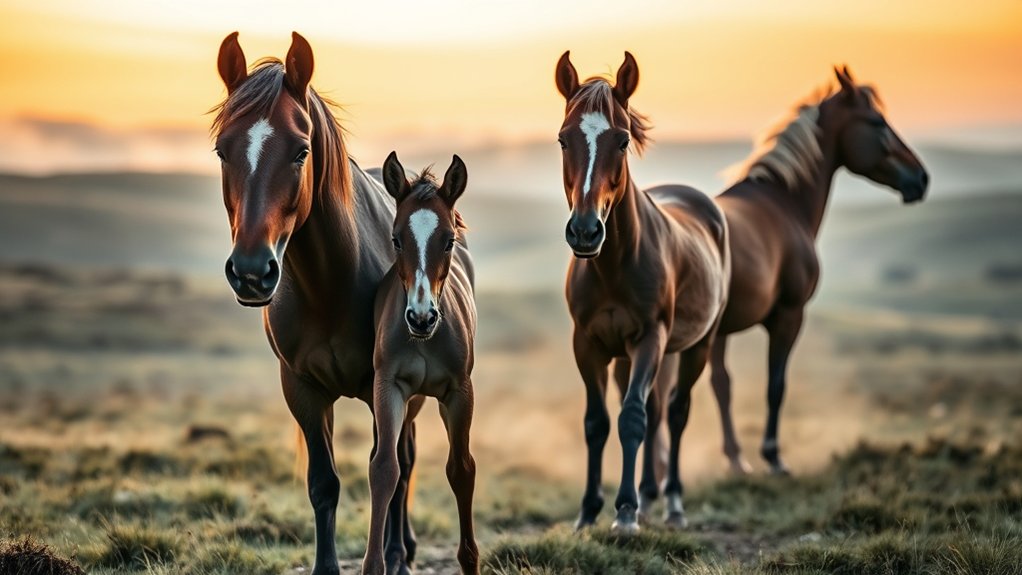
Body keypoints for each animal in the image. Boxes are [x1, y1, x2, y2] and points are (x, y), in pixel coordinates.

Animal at [211, 32, 419, 575]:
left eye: (301, 151)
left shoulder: (383, 388)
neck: (329, 285)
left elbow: (386, 471)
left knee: (406, 462)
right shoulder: (302, 389)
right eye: (221, 151)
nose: (251, 271)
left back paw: (401, 551)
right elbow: (323, 484)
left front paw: (389, 557)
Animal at [363, 152, 478, 575]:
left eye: (448, 240)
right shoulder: (389, 388)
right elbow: (385, 468)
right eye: (396, 239)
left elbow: (461, 470)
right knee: (403, 457)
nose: (421, 317)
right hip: (411, 400)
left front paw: (470, 560)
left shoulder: (459, 393)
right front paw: (378, 562)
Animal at [555, 51, 730, 532]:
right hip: (630, 357)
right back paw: (651, 496)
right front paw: (587, 511)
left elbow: (633, 418)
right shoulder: (587, 344)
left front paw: (625, 513)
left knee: (675, 412)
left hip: (694, 346)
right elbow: (597, 422)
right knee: (653, 411)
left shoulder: (650, 337)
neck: (614, 267)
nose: (585, 231)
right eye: (562, 140)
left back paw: (670, 502)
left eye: (621, 140)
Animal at [701, 66, 929, 475]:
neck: (783, 202)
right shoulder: (789, 315)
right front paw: (772, 457)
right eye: (878, 122)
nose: (920, 178)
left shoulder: (723, 330)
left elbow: (722, 385)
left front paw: (737, 459)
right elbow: (775, 385)